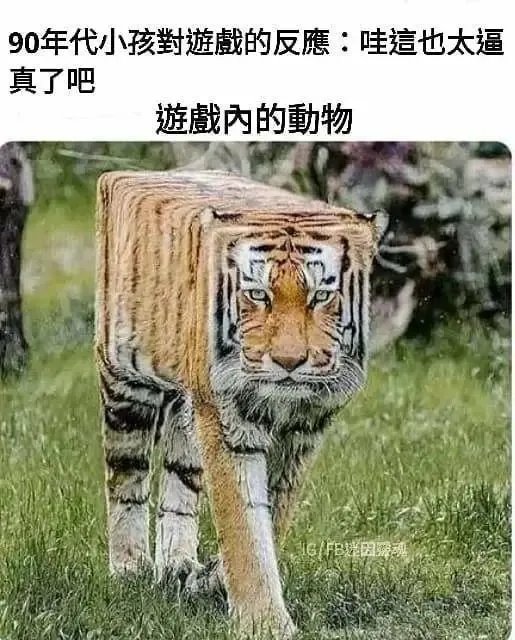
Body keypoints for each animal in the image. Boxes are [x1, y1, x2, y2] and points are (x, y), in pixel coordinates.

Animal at [95, 169, 387, 638]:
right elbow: (244, 525)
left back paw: (176, 565)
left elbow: (274, 511)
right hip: (125, 385)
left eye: (321, 297)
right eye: (259, 294)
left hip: (187, 408)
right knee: (126, 478)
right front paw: (265, 623)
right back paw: (130, 568)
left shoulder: (304, 432)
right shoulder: (227, 422)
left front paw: (208, 579)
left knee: (179, 482)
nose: (288, 362)